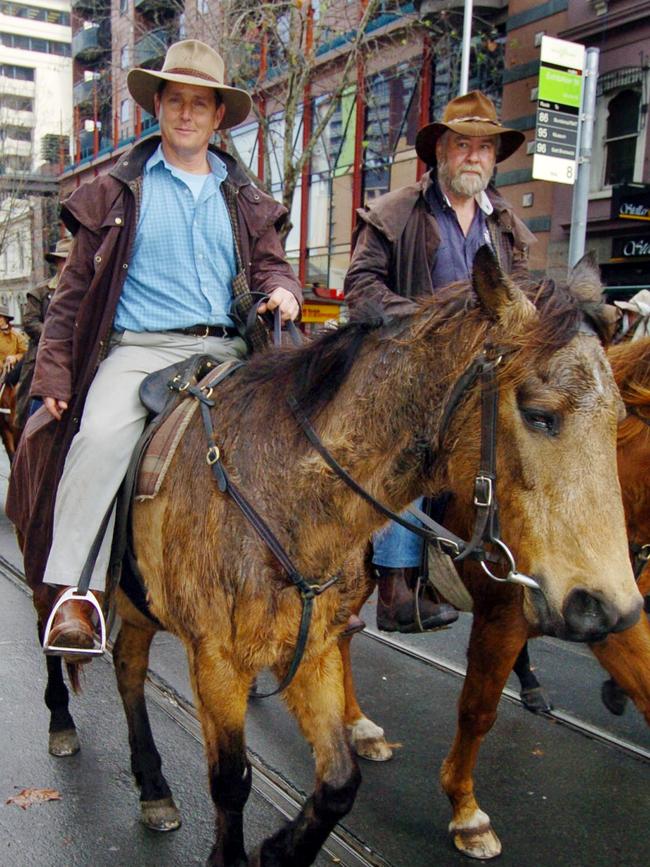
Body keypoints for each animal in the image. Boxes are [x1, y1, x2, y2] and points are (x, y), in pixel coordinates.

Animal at [29, 249, 636, 867]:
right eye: (539, 414)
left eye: (619, 417)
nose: (609, 607)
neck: (281, 494)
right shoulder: (217, 661)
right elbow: (231, 781)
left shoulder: (312, 648)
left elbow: (340, 782)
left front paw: (278, 850)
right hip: (47, 567)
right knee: (55, 639)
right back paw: (61, 720)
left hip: (139, 604)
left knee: (129, 669)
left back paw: (153, 787)